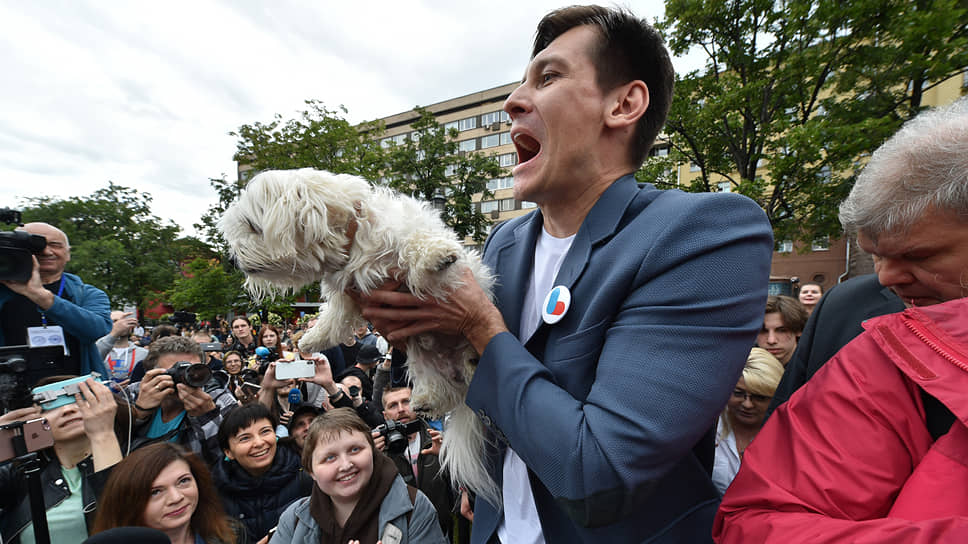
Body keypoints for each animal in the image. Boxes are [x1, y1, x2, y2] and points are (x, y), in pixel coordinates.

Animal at [219, 167, 500, 506]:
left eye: (252, 226)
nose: (232, 260)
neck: (353, 240)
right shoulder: (349, 294)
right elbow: (333, 317)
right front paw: (311, 339)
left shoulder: (407, 241)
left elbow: (415, 245)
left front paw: (437, 255)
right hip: (422, 362)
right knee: (444, 389)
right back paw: (426, 400)